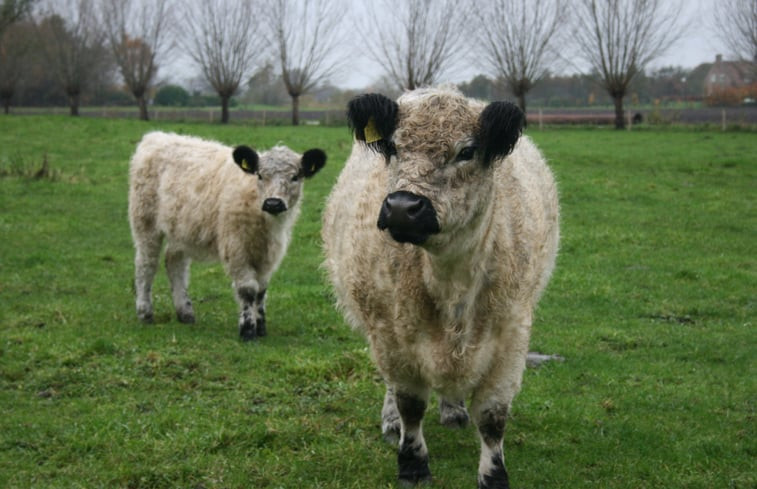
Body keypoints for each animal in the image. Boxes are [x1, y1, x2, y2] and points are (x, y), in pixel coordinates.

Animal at [130, 132, 324, 342]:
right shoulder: (236, 247)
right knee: (146, 264)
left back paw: (185, 312)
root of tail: (156, 136)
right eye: (260, 175)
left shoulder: (269, 254)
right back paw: (145, 312)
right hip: (144, 221)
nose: (273, 203)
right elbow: (248, 289)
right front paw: (247, 330)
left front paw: (261, 327)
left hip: (181, 229)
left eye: (295, 177)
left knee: (175, 262)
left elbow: (261, 290)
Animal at [322, 88, 560, 488]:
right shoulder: (391, 333)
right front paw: (412, 463)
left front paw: (494, 475)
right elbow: (410, 404)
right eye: (393, 147)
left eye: (466, 151)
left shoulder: (512, 334)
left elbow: (493, 415)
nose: (402, 206)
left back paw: (453, 410)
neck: (452, 285)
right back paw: (392, 423)